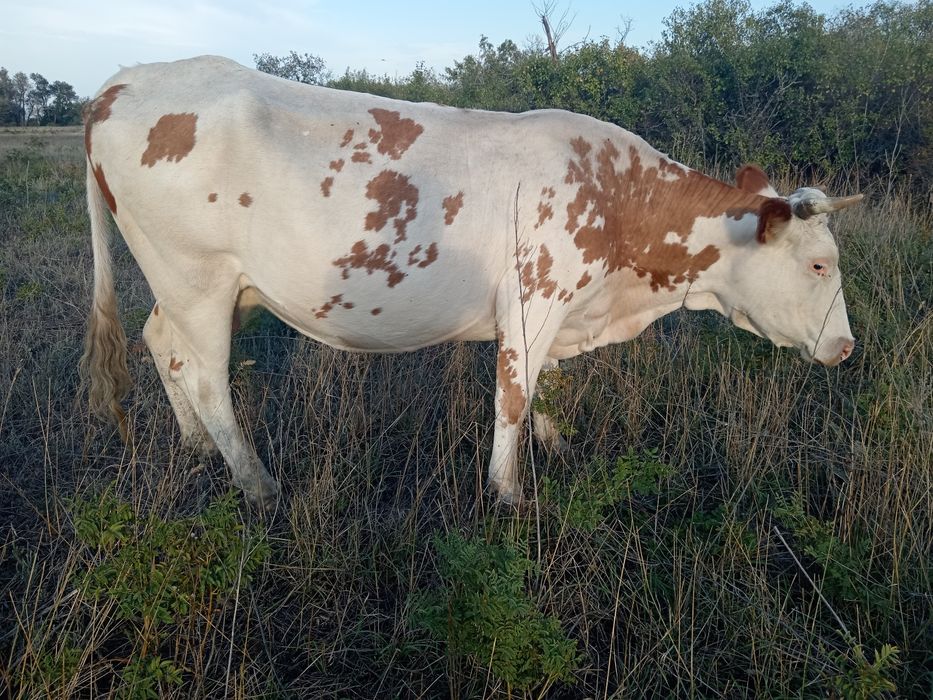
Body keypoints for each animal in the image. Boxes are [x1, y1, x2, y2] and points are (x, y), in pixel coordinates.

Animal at [81, 56, 862, 509]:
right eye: (819, 265)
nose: (848, 348)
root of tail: (127, 80)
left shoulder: (558, 312)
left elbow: (544, 388)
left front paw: (557, 445)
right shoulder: (533, 301)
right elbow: (513, 396)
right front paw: (507, 491)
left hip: (210, 288)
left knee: (163, 345)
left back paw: (196, 449)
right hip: (197, 276)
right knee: (208, 376)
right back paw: (257, 484)